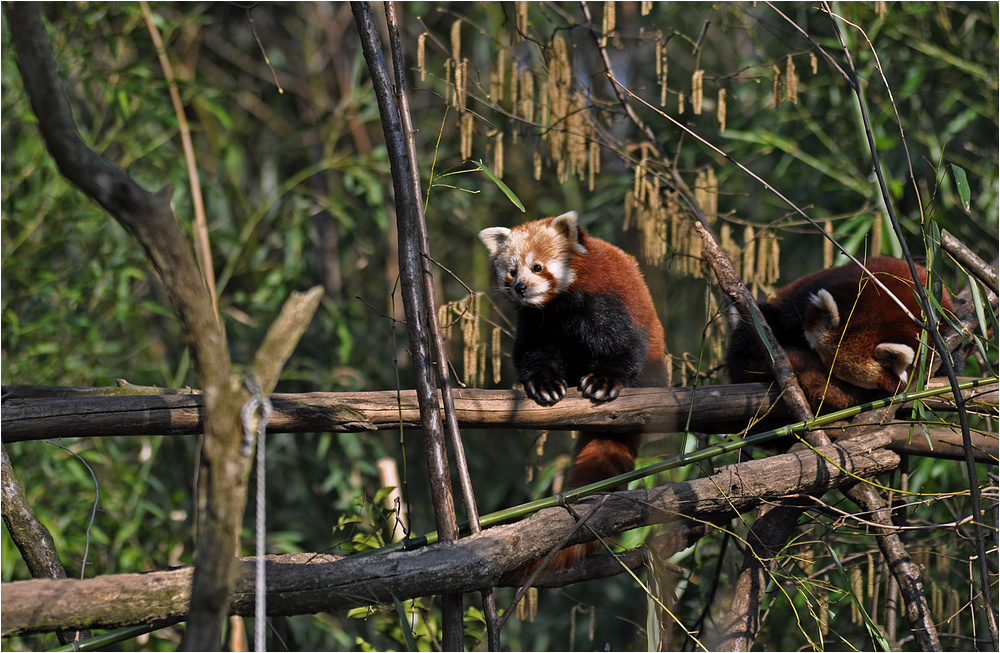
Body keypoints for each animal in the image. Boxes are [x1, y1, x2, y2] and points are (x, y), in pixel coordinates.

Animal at [478, 211, 668, 580]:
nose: (520, 287)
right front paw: (545, 384)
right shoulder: (537, 322)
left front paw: (603, 381)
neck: (559, 305)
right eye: (511, 271)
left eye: (537, 267)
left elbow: (620, 347)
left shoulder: (607, 302)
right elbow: (534, 353)